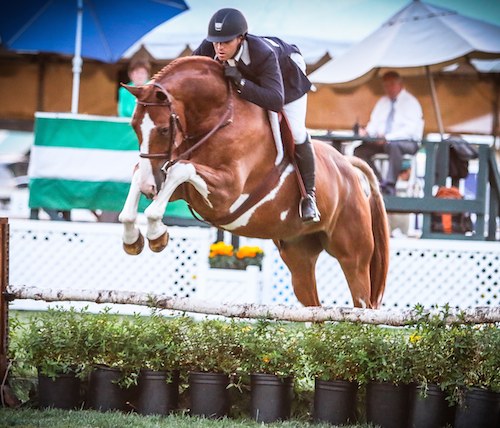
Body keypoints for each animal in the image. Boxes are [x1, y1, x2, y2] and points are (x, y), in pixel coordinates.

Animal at [118, 56, 390, 308]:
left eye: (164, 129)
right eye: (134, 126)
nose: (150, 188)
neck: (217, 120)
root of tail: (348, 167)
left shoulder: (225, 194)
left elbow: (179, 171)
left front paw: (156, 233)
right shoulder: (180, 186)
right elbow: (143, 176)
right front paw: (134, 239)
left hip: (354, 258)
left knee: (362, 305)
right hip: (299, 256)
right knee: (315, 308)